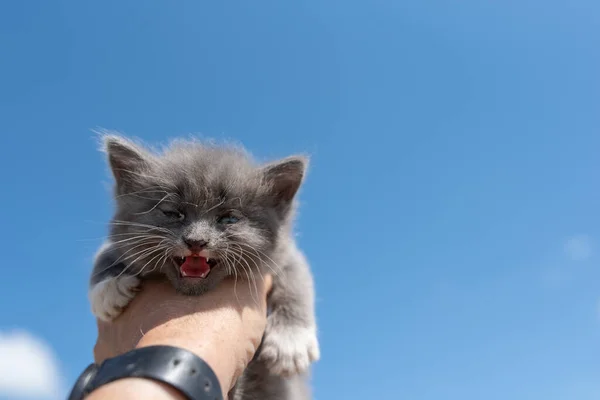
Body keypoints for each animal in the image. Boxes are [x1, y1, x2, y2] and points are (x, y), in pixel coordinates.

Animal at [88, 135, 318, 400]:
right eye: (173, 212)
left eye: (229, 218)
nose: (196, 241)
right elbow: (105, 252)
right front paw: (108, 288)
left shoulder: (284, 255)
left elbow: (296, 280)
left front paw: (291, 341)